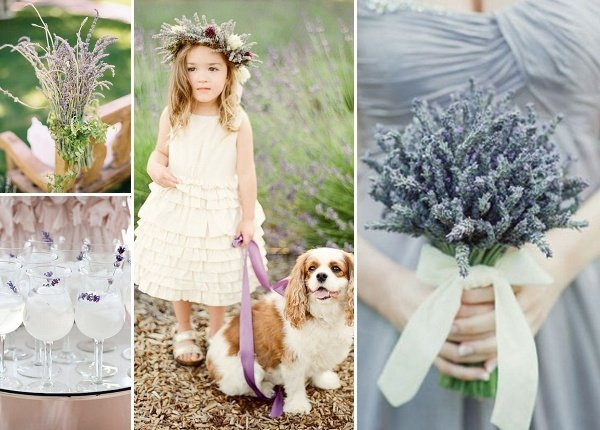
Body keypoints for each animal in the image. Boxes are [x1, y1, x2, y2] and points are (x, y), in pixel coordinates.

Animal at [207, 249, 354, 414]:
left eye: (336, 269)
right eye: (311, 268)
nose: (321, 275)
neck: (322, 313)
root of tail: (209, 357)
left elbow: (319, 368)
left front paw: (323, 380)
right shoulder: (294, 357)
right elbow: (296, 385)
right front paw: (298, 405)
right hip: (251, 369)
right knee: (233, 388)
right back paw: (264, 389)